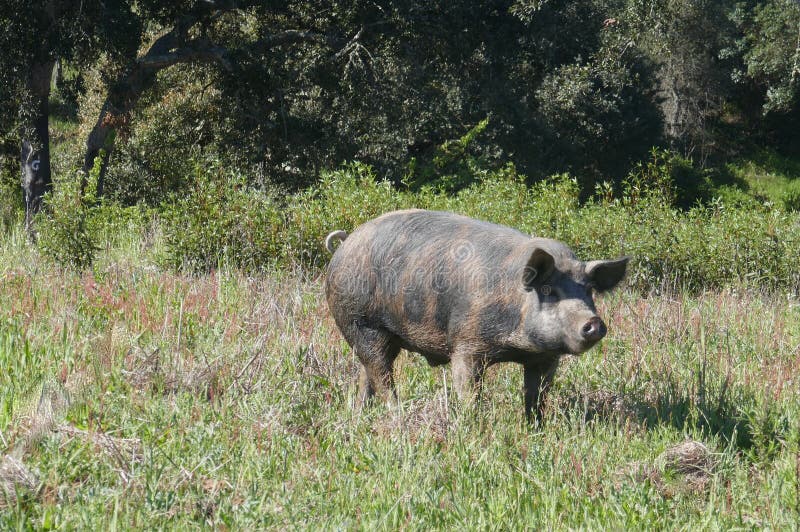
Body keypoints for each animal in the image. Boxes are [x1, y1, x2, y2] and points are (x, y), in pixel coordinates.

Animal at [322, 210, 628, 422]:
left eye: (588, 290)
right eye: (548, 290)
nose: (593, 322)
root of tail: (346, 242)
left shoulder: (545, 358)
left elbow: (537, 397)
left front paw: (535, 429)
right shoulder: (466, 344)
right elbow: (469, 391)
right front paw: (473, 426)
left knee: (366, 375)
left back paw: (358, 416)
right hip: (361, 322)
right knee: (381, 375)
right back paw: (397, 416)